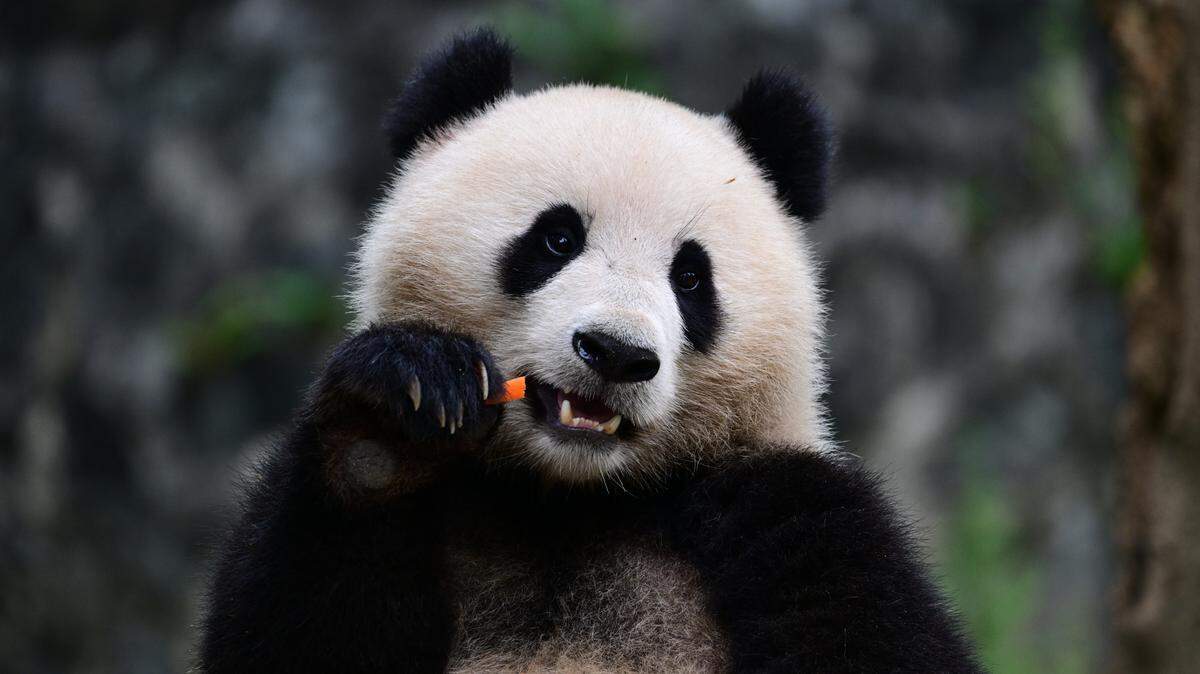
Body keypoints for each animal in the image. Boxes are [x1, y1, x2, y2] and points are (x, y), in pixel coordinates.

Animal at [198, 29, 980, 673]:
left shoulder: (797, 513)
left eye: (690, 277)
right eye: (556, 238)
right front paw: (398, 415)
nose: (615, 353)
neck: (569, 500)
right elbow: (300, 628)